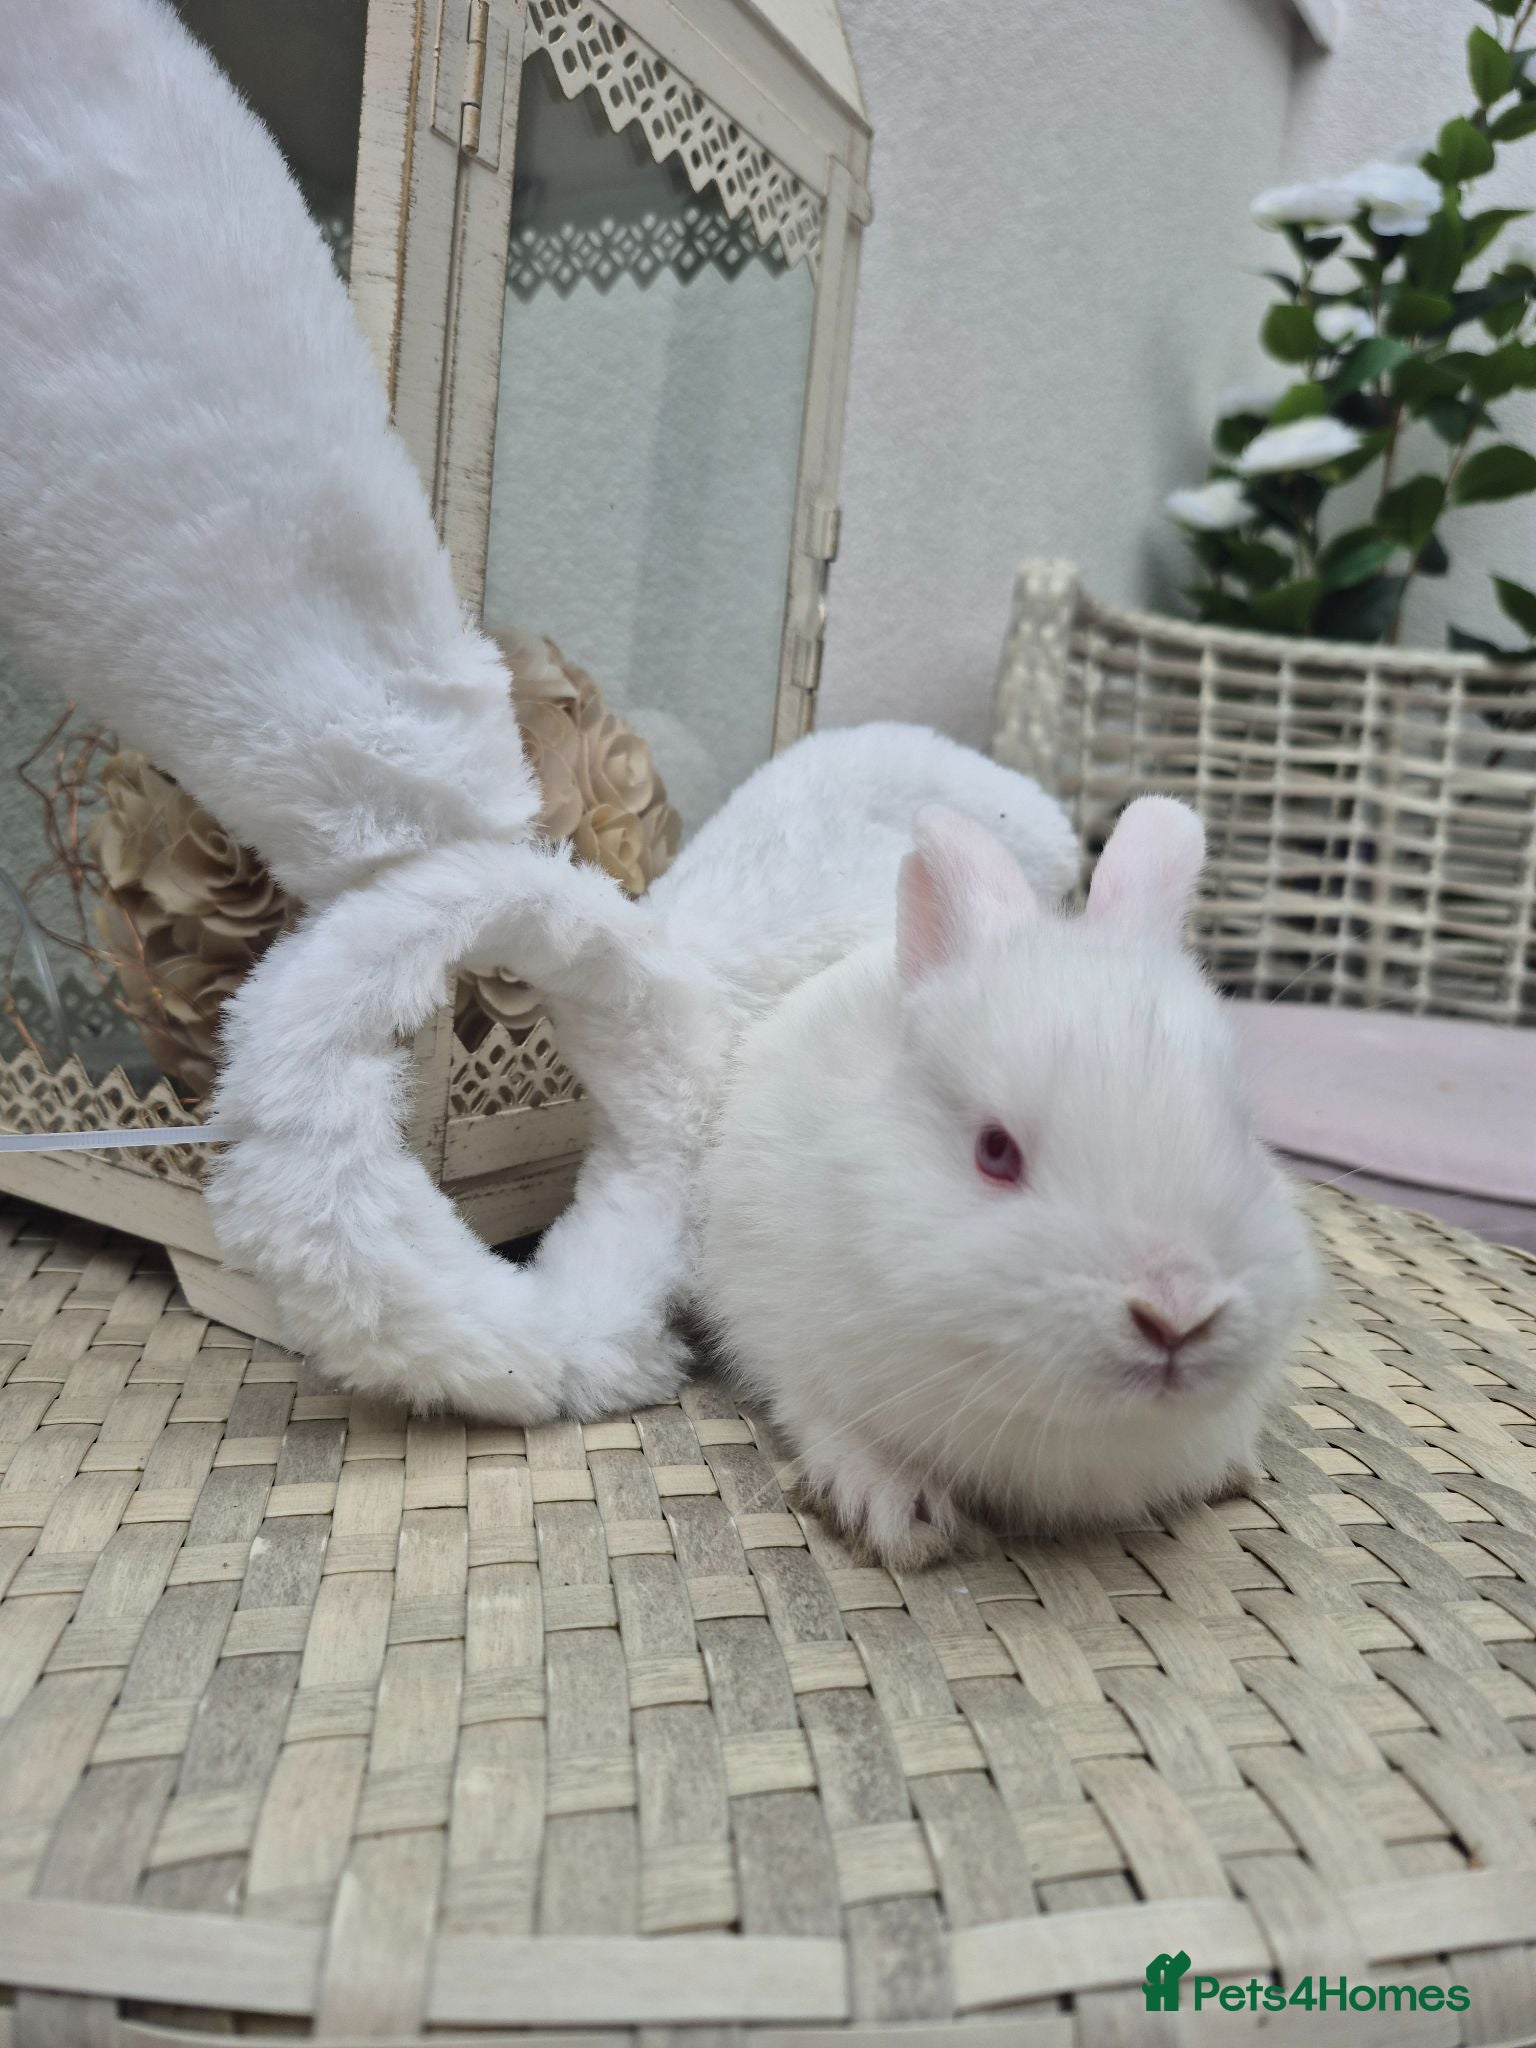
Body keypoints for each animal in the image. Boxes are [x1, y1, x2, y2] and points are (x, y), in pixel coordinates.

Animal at [694, 790, 1320, 1568]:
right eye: (995, 1152)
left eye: (1241, 1126)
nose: (1178, 1312)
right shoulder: (790, 1337)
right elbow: (824, 1419)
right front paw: (900, 1514)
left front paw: (1233, 1467)